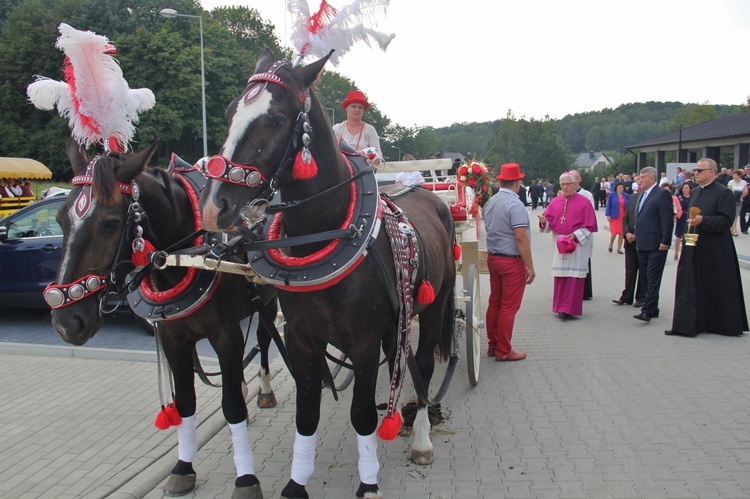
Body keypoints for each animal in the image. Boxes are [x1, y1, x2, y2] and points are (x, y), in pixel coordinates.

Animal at [49, 139, 280, 498]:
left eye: (110, 223)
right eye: (61, 219)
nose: (66, 322)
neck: (187, 257)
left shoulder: (225, 334)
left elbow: (231, 406)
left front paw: (245, 478)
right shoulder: (173, 339)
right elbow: (185, 404)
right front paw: (183, 468)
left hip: (268, 301)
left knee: (265, 341)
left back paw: (265, 390)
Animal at [200, 48, 456, 498]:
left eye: (276, 119)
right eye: (231, 112)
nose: (215, 205)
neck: (325, 233)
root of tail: (427, 193)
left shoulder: (364, 341)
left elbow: (362, 416)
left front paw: (368, 484)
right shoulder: (301, 338)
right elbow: (307, 414)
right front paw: (296, 483)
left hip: (435, 304)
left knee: (423, 365)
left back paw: (422, 438)